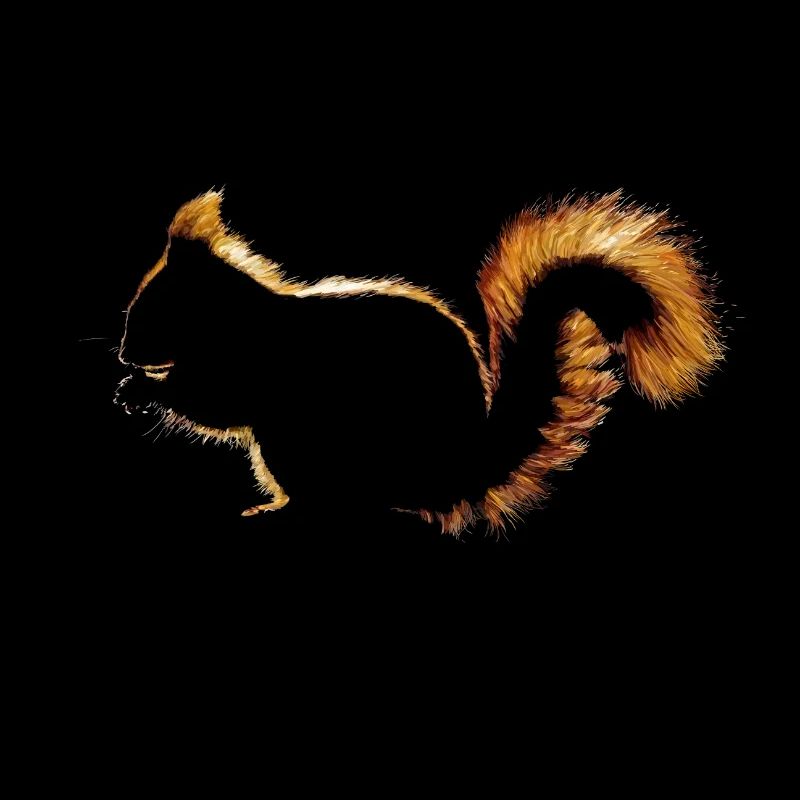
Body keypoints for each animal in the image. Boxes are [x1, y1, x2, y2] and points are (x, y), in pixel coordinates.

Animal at [115, 189, 722, 536]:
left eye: (156, 309)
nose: (123, 352)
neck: (237, 317)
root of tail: (456, 471)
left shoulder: (250, 364)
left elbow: (214, 404)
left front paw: (143, 388)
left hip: (300, 444)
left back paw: (284, 511)